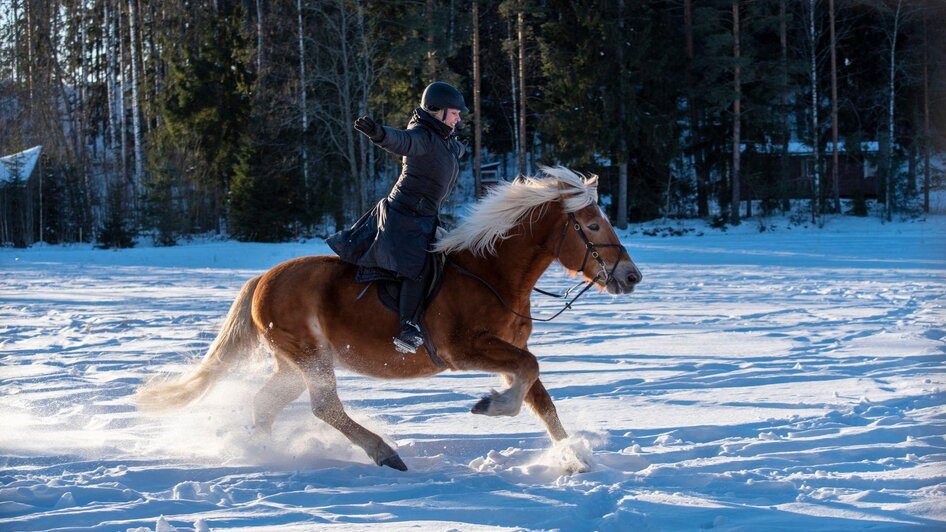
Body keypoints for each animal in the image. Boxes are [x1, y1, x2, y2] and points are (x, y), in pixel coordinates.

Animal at [136, 166, 640, 470]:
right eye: (592, 225)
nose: (631, 276)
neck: (492, 274)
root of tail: (262, 279)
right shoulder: (465, 350)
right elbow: (528, 376)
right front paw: (489, 405)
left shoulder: (510, 349)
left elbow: (542, 398)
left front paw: (574, 460)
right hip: (310, 357)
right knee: (325, 408)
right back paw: (384, 453)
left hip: (293, 364)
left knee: (266, 405)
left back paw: (263, 453)